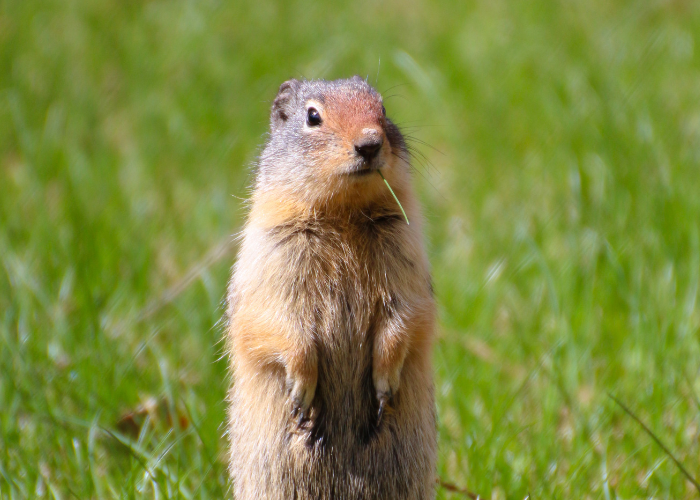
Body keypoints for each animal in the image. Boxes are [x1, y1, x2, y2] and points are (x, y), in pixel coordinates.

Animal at [228, 76, 438, 498]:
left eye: (383, 109)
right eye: (313, 116)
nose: (370, 144)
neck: (343, 214)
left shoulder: (404, 252)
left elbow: (405, 316)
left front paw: (384, 387)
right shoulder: (273, 255)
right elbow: (279, 322)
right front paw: (301, 395)